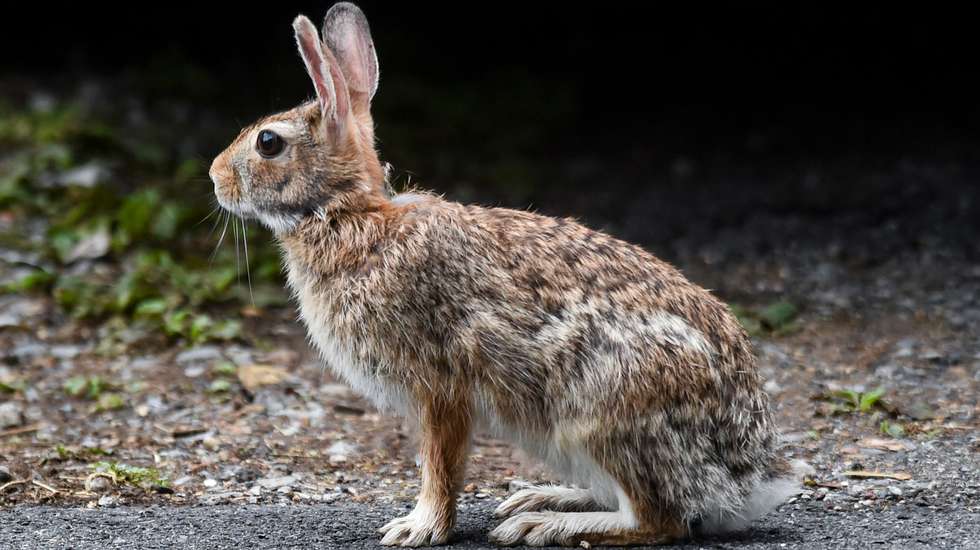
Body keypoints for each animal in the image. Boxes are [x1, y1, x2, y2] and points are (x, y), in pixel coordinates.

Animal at [209, 2, 807, 547]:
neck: (349, 217)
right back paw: (543, 498)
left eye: (268, 142)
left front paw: (419, 528)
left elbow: (441, 463)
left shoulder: (439, 385)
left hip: (603, 410)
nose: (215, 177)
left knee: (659, 520)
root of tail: (747, 480)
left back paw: (543, 524)